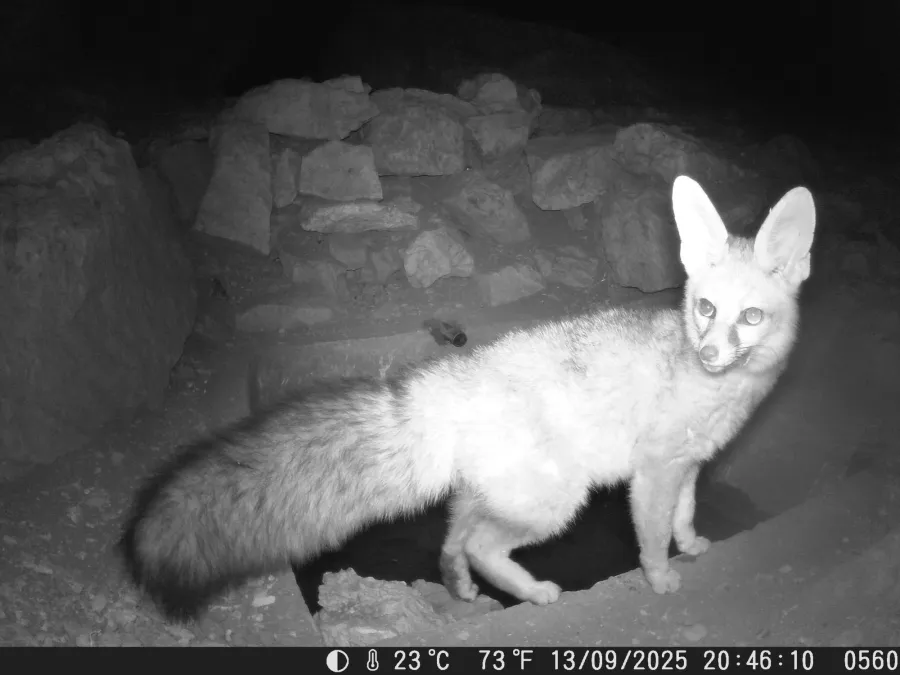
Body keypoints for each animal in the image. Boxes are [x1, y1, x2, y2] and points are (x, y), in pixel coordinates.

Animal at [121, 175, 816, 620]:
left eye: (750, 317)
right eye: (705, 308)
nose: (710, 355)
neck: (717, 392)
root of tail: (456, 379)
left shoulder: (690, 467)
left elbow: (685, 517)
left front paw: (693, 547)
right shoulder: (652, 472)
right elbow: (649, 538)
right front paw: (663, 578)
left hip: (493, 495)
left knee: (453, 541)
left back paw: (463, 590)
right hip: (557, 503)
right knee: (482, 545)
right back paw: (534, 594)